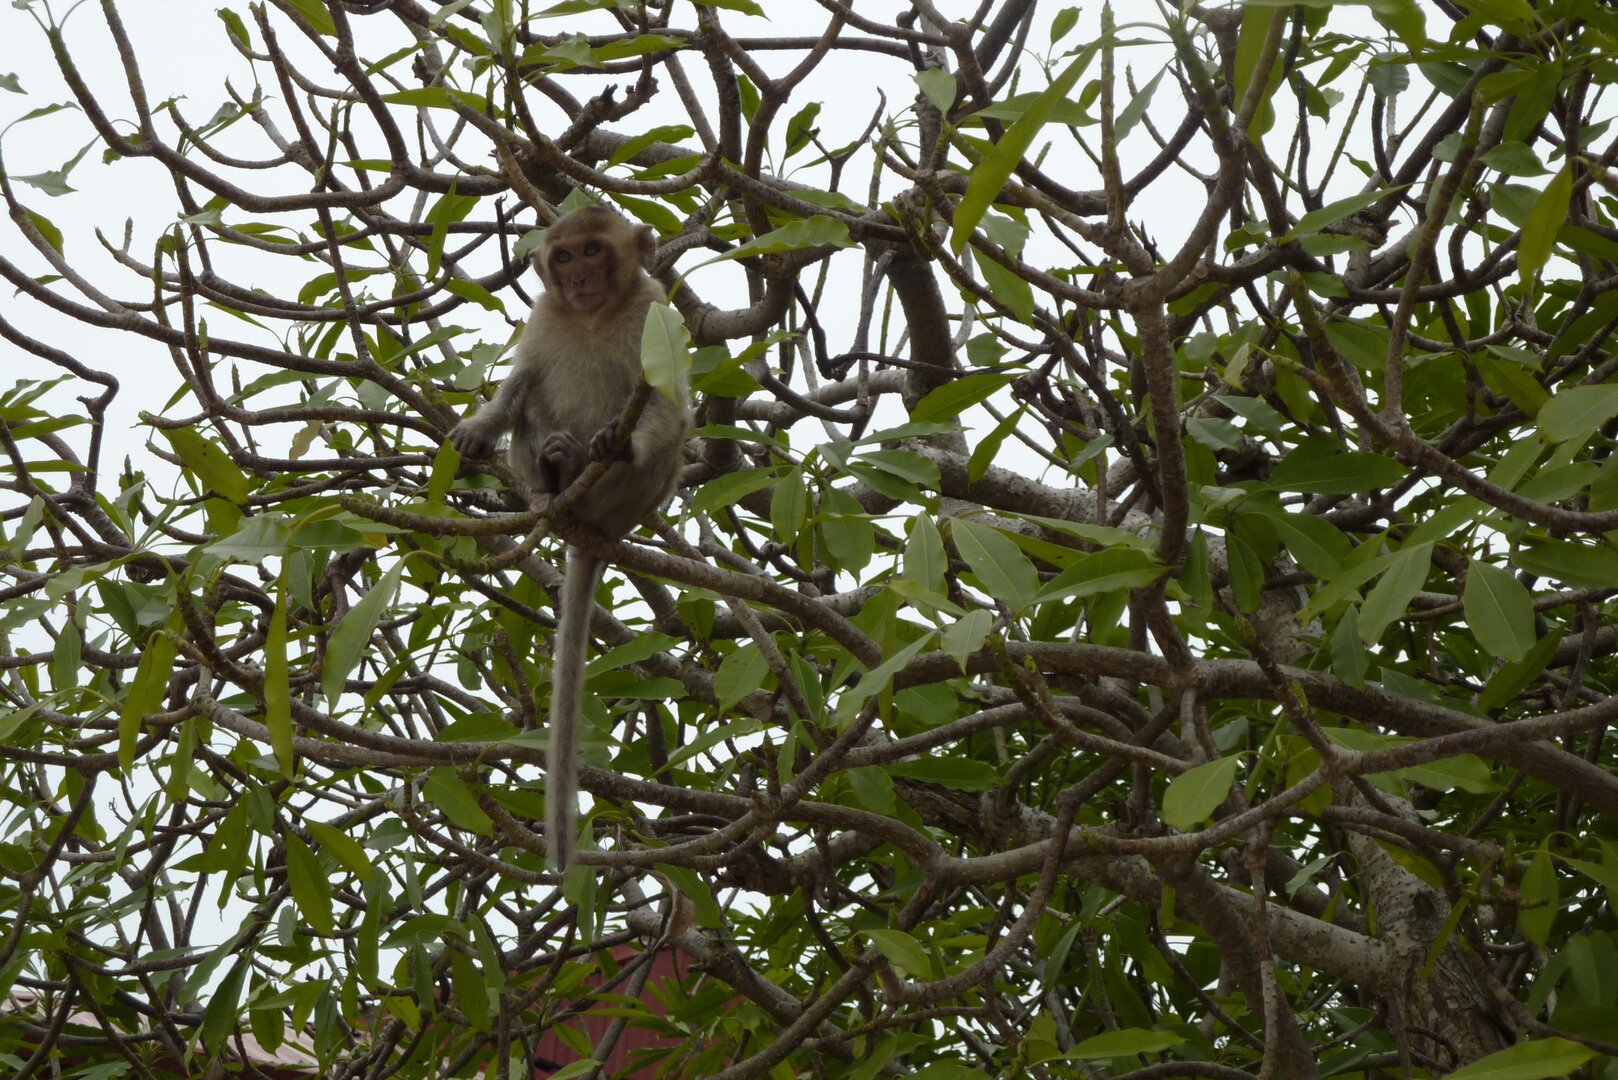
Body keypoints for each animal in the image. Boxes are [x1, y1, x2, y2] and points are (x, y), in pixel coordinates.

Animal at [448, 205, 690, 870]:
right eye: (563, 256)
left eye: (593, 250)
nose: (580, 277)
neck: (593, 317)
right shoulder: (544, 317)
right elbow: (519, 380)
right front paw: (479, 426)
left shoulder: (654, 309)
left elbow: (667, 402)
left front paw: (619, 442)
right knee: (532, 407)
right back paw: (551, 480)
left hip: (635, 497)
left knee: (659, 437)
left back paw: (586, 459)